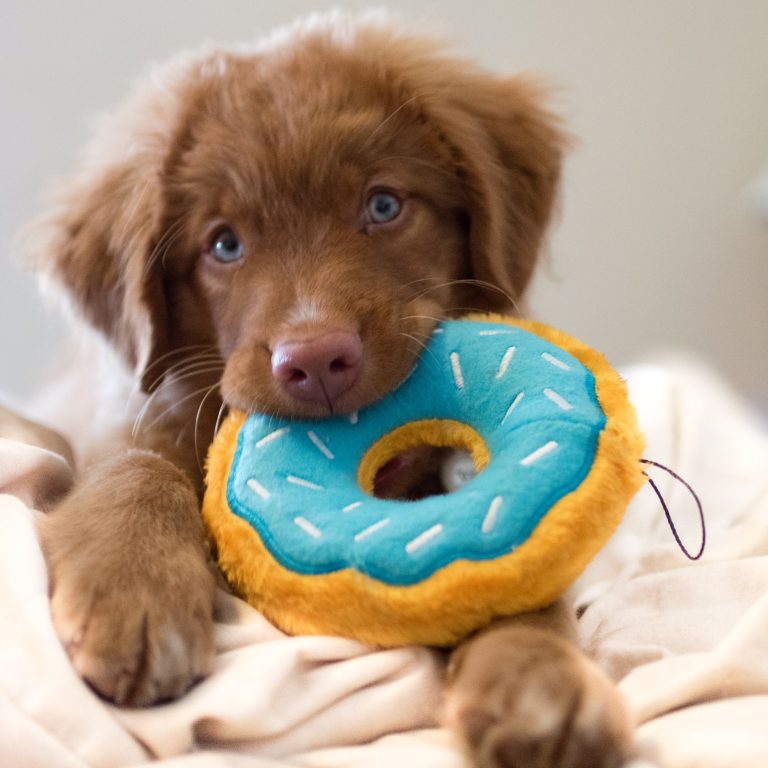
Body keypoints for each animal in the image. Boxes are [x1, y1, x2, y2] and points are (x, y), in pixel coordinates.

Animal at [28, 13, 632, 768]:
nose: (315, 361)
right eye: (223, 245)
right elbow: (133, 466)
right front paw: (134, 589)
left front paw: (542, 674)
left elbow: (520, 560)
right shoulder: (118, 416)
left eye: (383, 205)